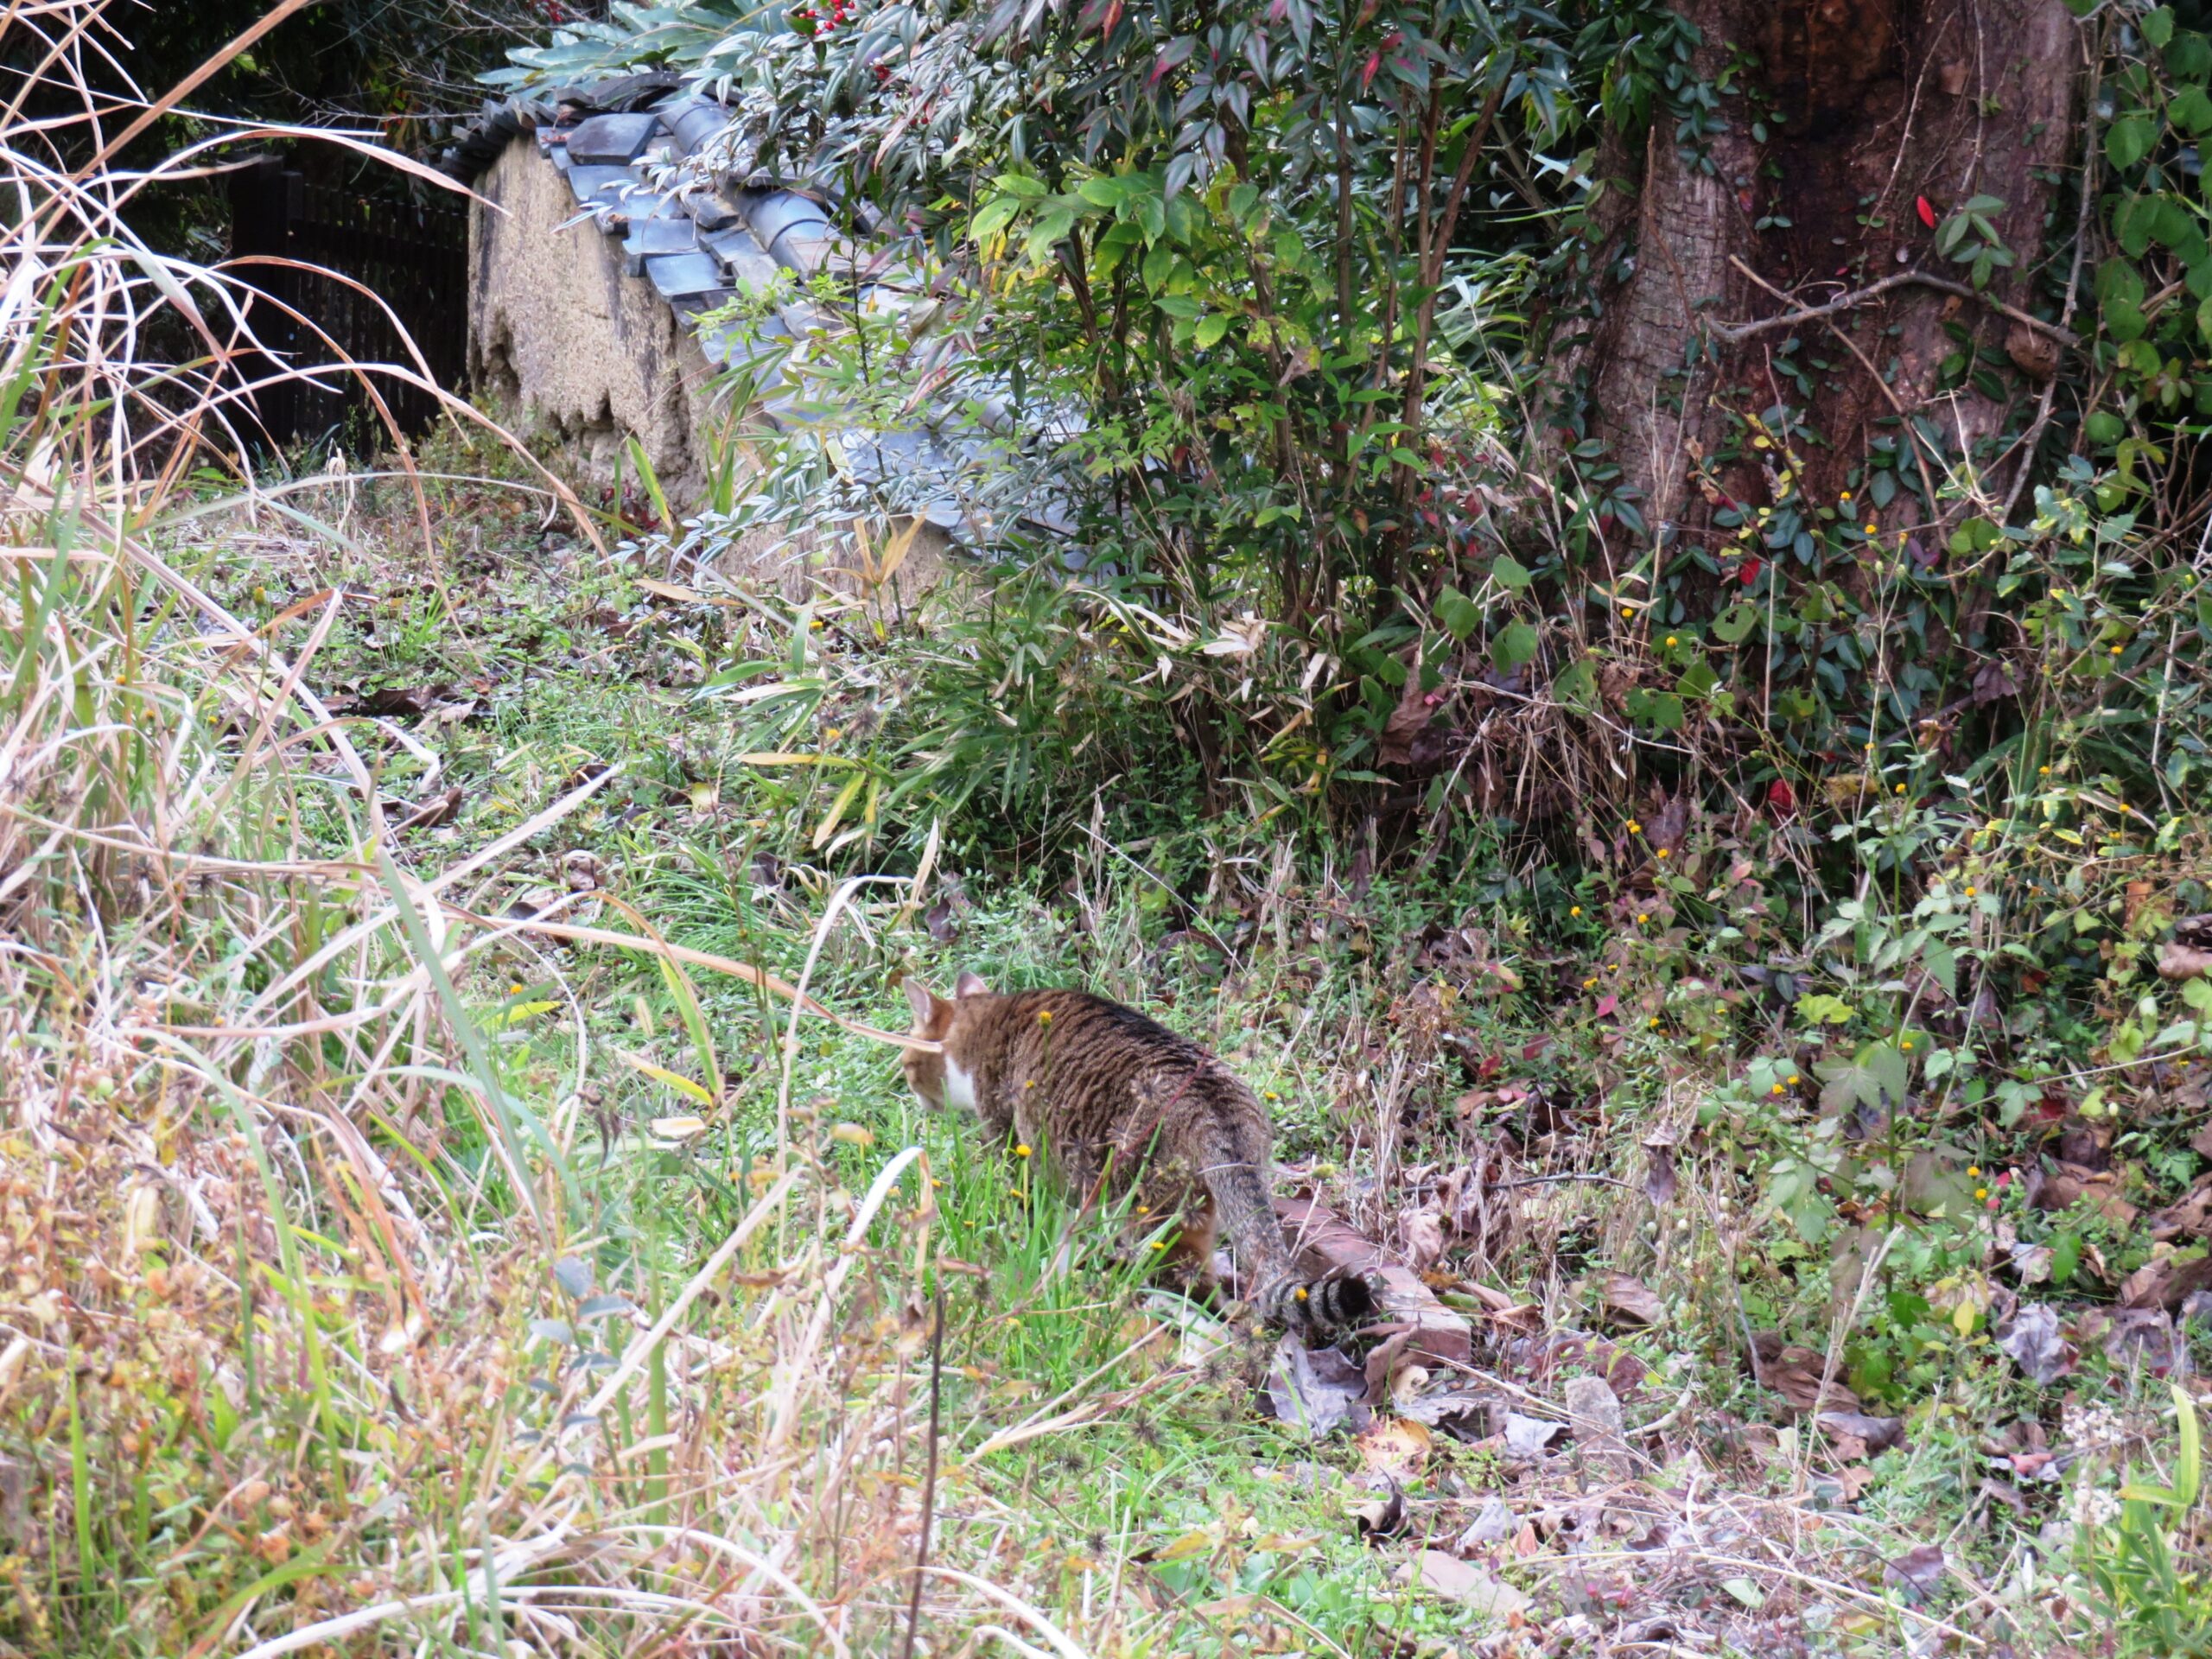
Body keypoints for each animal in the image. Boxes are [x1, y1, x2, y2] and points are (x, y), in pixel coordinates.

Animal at [898, 973, 1362, 1336]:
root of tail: (1215, 1106)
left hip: (1152, 1217)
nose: (915, 1097)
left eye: (906, 1065)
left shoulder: (1015, 1143)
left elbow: (1026, 1206)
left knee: (1195, 1291)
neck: (985, 1021)